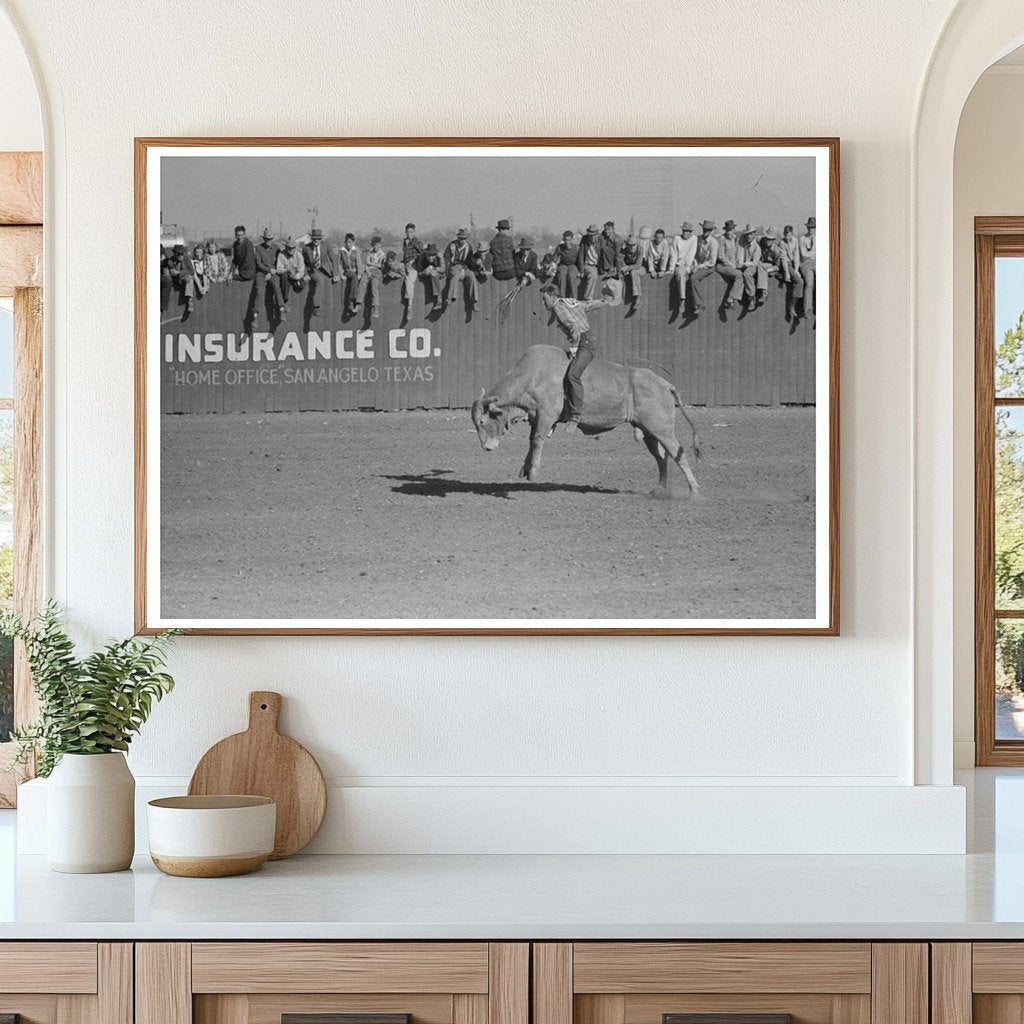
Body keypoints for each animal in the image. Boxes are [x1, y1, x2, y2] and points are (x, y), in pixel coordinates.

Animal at [468, 344, 696, 495]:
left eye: (482, 422)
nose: (486, 447)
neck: (532, 376)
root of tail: (666, 384)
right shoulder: (536, 417)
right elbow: (532, 440)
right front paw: (525, 468)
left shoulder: (547, 414)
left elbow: (537, 440)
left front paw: (532, 471)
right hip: (649, 431)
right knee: (662, 457)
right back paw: (660, 490)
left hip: (662, 429)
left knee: (678, 453)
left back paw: (694, 490)